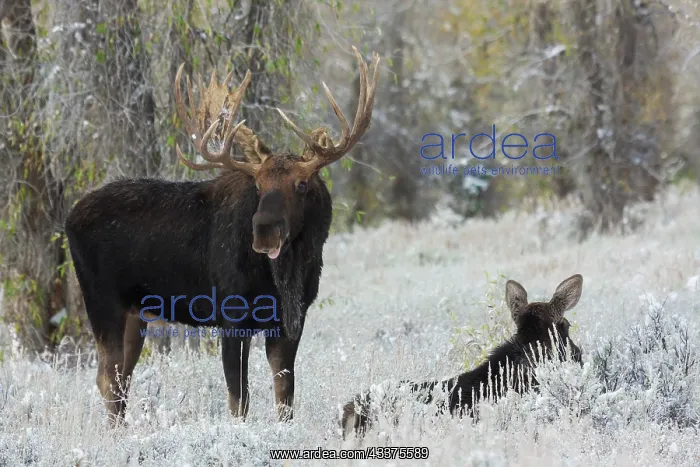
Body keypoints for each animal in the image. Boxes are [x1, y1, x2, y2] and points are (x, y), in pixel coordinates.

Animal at [64, 46, 380, 427]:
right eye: (258, 186)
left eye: (302, 184)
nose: (264, 231)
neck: (284, 278)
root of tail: (69, 218)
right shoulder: (230, 316)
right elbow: (238, 400)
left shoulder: (291, 320)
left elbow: (285, 398)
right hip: (102, 302)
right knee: (108, 379)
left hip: (135, 312)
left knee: (120, 378)